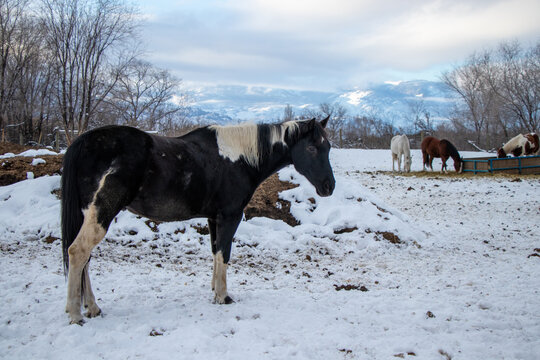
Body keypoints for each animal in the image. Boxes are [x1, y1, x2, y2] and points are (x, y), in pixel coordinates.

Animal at [62, 117, 334, 324]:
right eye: (312, 148)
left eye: (328, 147)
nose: (329, 186)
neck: (239, 159)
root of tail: (84, 141)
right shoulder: (229, 217)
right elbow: (224, 253)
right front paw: (223, 297)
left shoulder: (214, 218)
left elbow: (215, 252)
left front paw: (214, 290)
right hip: (101, 214)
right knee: (78, 252)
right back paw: (76, 314)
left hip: (89, 214)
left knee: (85, 258)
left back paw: (92, 307)